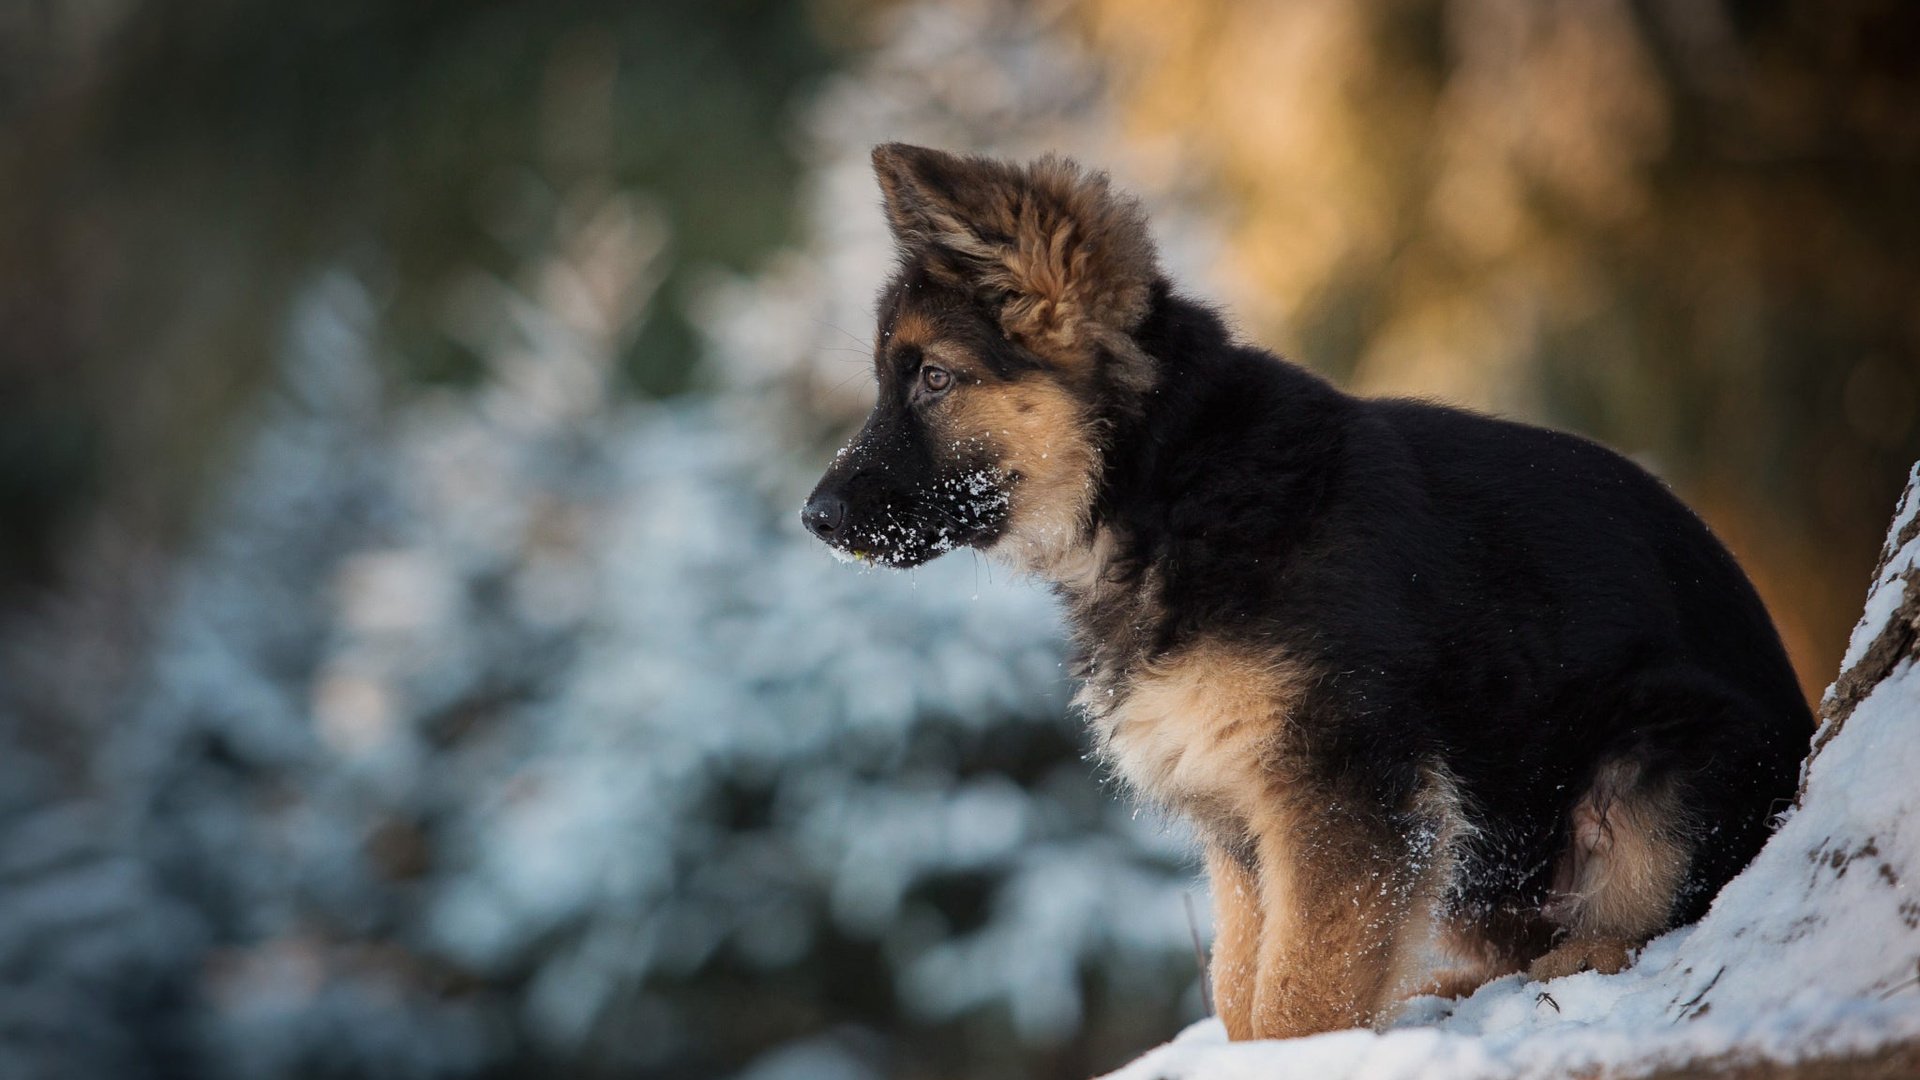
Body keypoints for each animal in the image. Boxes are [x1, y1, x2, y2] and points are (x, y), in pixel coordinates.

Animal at [798, 143, 1812, 1037]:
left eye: (935, 379)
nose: (813, 519)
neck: (1172, 486)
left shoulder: (1343, 793)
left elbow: (1299, 997)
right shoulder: (1245, 819)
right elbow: (1241, 986)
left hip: (1652, 762)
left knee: (1656, 917)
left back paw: (1578, 961)